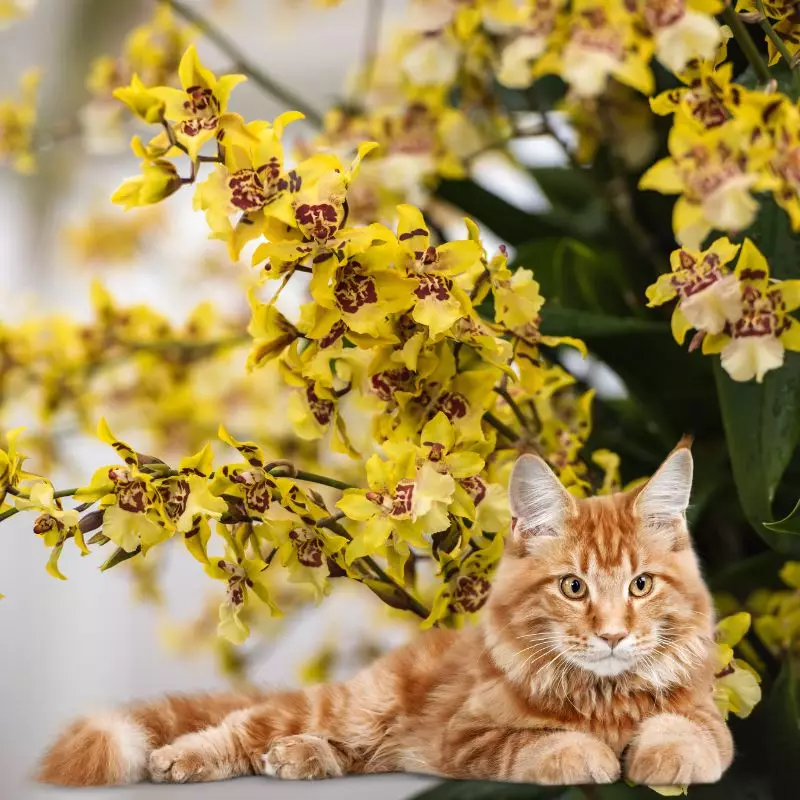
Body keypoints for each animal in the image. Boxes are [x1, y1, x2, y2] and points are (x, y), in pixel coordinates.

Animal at [37, 444, 732, 788]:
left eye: (640, 585)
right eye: (573, 587)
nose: (613, 635)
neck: (603, 699)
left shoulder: (707, 717)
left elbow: (690, 734)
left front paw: (661, 755)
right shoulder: (467, 736)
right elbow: (539, 743)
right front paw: (587, 755)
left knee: (344, 753)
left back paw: (298, 758)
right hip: (356, 705)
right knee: (243, 725)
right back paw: (182, 759)